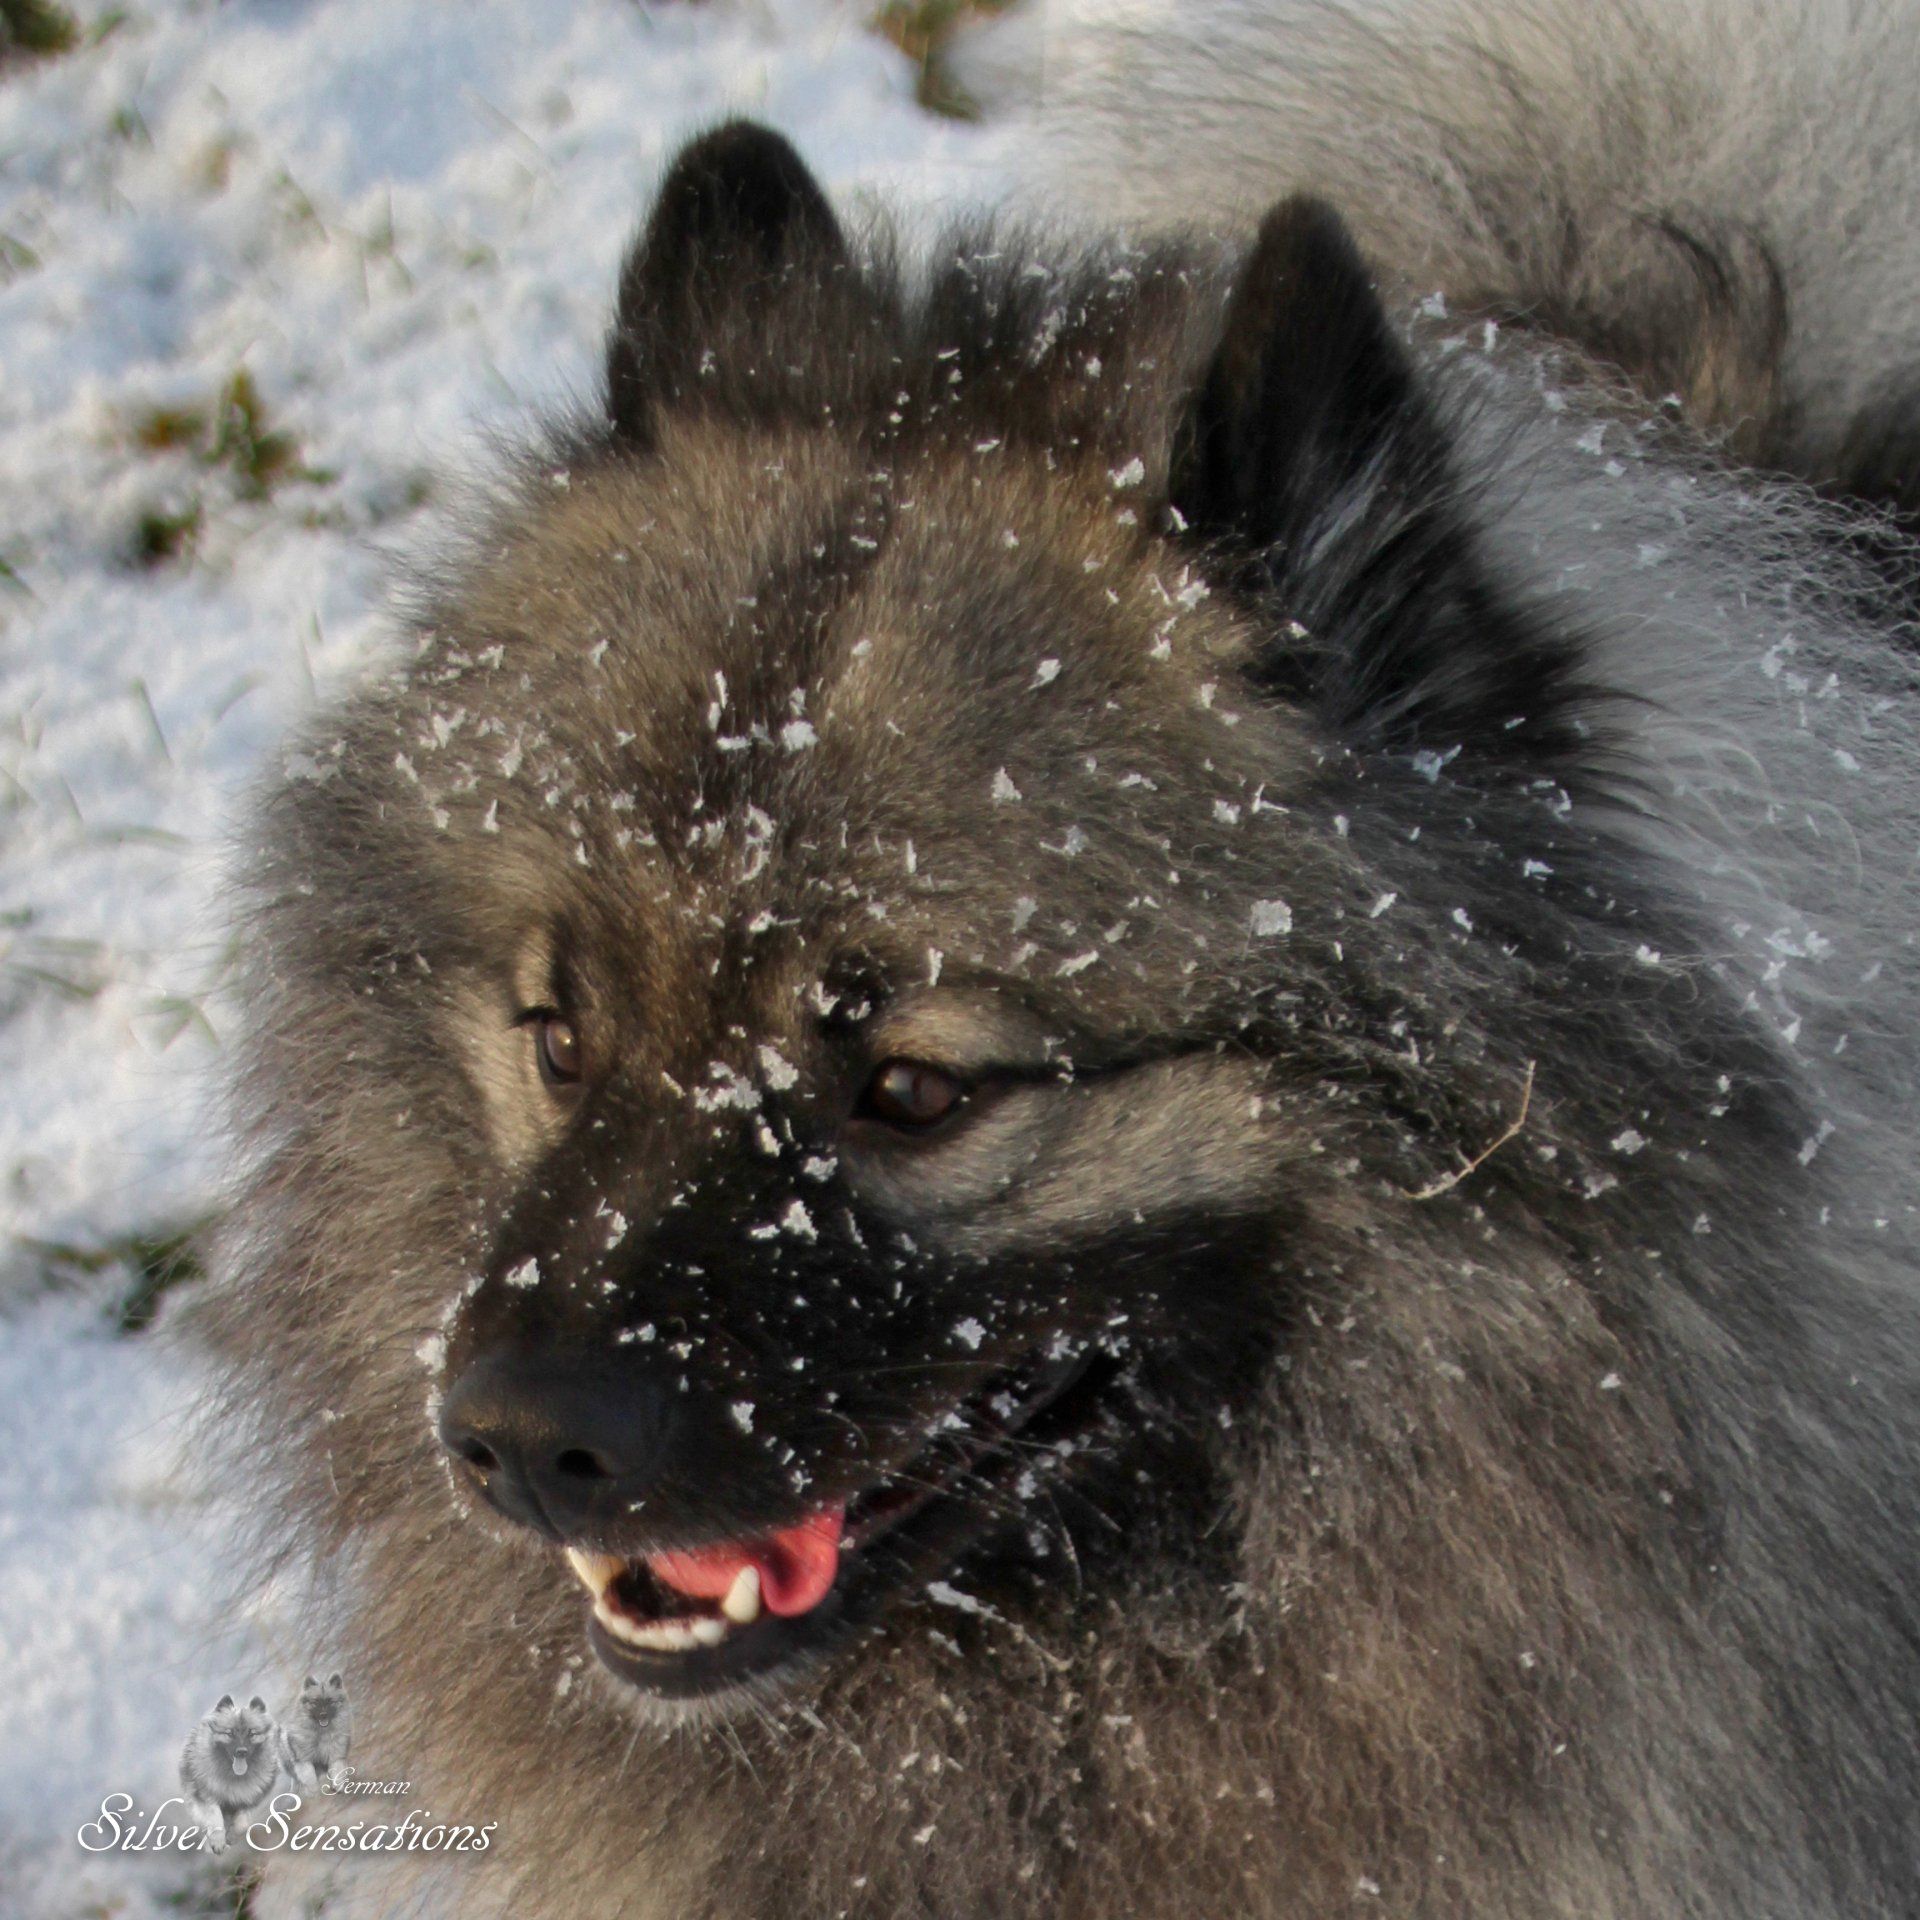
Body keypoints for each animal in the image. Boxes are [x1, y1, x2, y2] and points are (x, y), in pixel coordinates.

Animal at [178, 1694, 279, 1855]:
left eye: (252, 1733)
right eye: (230, 1733)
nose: (241, 1751)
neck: (234, 1776)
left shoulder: (251, 1799)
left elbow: (241, 1824)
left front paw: (232, 1836)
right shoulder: (205, 1796)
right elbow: (215, 1819)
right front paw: (218, 1843)